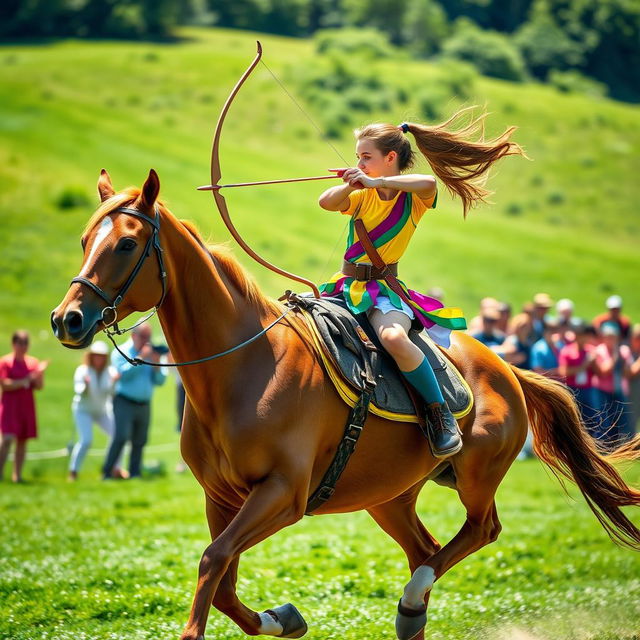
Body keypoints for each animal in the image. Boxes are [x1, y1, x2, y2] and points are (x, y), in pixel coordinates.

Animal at [52, 170, 640, 640]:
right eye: (83, 239)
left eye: (126, 245)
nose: (67, 320)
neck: (241, 369)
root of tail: (507, 368)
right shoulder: (220, 497)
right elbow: (221, 581)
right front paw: (283, 618)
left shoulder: (284, 494)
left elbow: (213, 562)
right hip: (389, 494)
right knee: (426, 549)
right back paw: (412, 611)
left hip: (476, 473)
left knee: (480, 530)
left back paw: (412, 597)